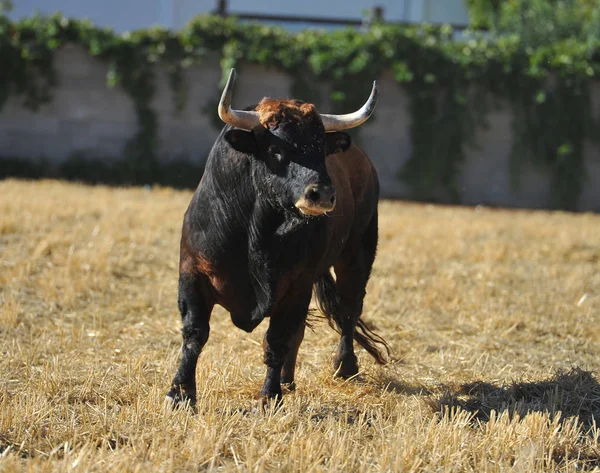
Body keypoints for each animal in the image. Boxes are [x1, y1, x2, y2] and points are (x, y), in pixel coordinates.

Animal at [166, 69, 392, 406]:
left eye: (321, 150)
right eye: (277, 150)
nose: (323, 194)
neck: (256, 233)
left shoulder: (296, 286)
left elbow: (277, 340)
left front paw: (269, 396)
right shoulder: (193, 273)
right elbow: (194, 333)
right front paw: (179, 393)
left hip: (358, 253)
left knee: (349, 308)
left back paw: (344, 365)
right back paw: (288, 379)